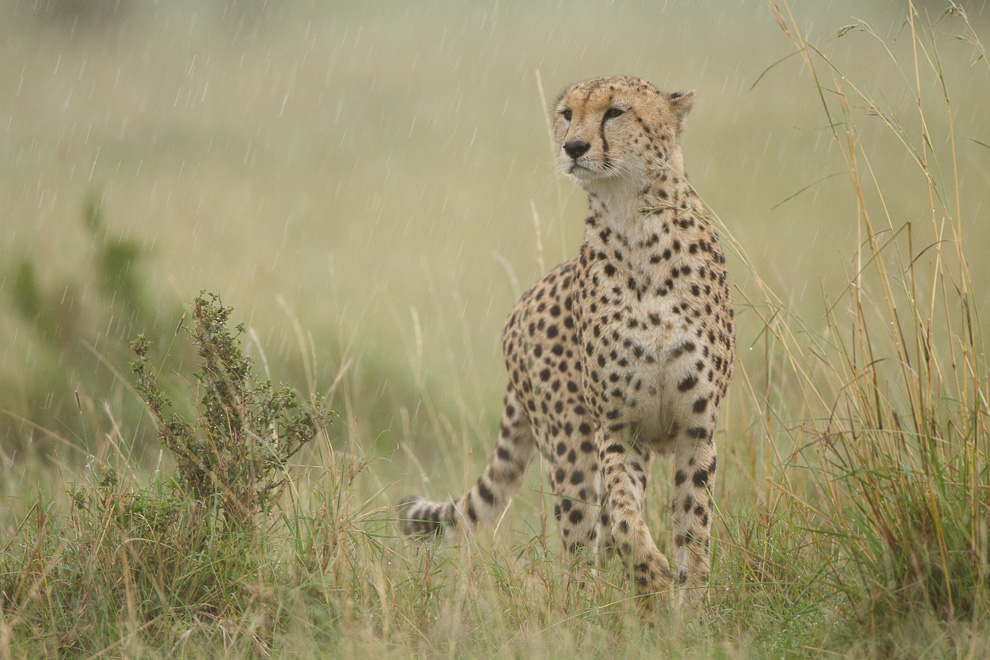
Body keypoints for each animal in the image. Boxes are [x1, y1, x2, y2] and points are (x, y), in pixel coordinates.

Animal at [400, 76, 732, 608]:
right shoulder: (617, 428)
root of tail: (518, 308)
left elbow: (693, 525)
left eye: (615, 112)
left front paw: (691, 605)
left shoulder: (695, 429)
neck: (636, 224)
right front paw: (652, 576)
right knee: (581, 545)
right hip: (571, 445)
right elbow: (623, 517)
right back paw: (590, 608)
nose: (573, 147)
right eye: (567, 114)